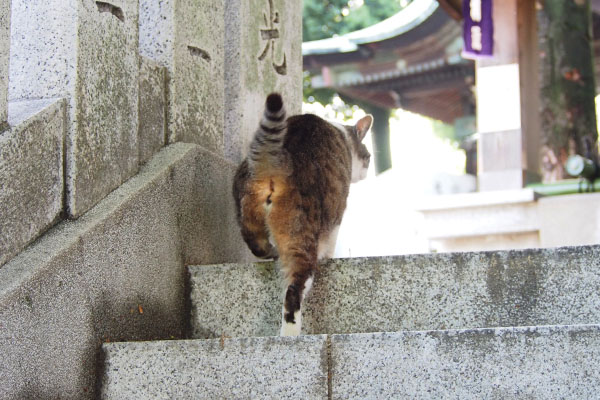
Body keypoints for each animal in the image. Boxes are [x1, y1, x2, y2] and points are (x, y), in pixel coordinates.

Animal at [232, 92, 372, 336]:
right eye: (368, 157)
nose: (368, 169)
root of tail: (276, 161)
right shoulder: (336, 215)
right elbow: (331, 242)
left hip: (246, 211)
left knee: (256, 245)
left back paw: (271, 252)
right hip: (301, 238)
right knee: (293, 291)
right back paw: (290, 334)